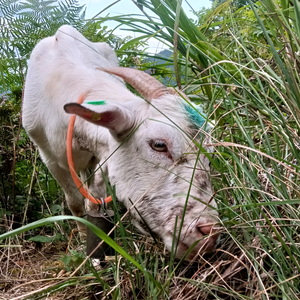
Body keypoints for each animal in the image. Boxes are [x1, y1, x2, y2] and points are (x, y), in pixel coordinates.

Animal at [22, 25, 218, 260]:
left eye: (209, 159)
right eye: (159, 145)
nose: (209, 233)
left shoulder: (102, 155)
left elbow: (94, 198)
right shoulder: (49, 157)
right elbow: (75, 203)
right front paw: (82, 236)